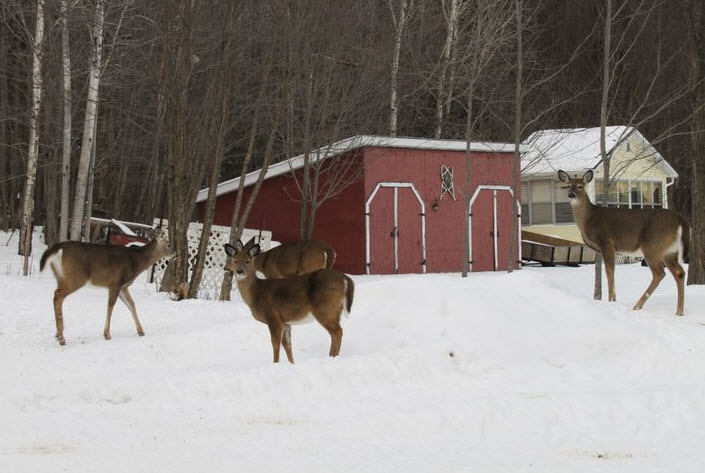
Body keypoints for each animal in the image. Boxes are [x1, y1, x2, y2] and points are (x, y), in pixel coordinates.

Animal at [40, 227, 176, 344]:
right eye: (169, 244)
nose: (176, 254)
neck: (136, 261)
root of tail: (58, 247)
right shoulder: (115, 283)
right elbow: (111, 306)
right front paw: (107, 334)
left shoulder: (123, 286)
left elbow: (131, 305)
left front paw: (141, 331)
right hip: (76, 277)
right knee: (58, 295)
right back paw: (62, 338)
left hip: (60, 277)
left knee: (57, 296)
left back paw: (57, 335)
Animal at [224, 238, 354, 364]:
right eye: (235, 260)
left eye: (247, 261)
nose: (239, 271)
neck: (256, 292)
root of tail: (345, 279)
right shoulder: (285, 323)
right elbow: (287, 346)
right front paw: (291, 364)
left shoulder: (273, 317)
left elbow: (275, 344)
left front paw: (275, 364)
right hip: (336, 310)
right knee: (338, 331)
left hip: (325, 309)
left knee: (337, 332)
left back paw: (332, 357)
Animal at [560, 168, 692, 316]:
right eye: (568, 186)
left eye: (580, 186)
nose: (571, 195)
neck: (589, 218)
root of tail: (681, 220)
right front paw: (613, 299)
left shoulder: (606, 242)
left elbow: (610, 272)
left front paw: (612, 300)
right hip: (669, 251)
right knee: (679, 273)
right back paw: (679, 312)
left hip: (652, 246)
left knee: (659, 273)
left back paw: (638, 306)